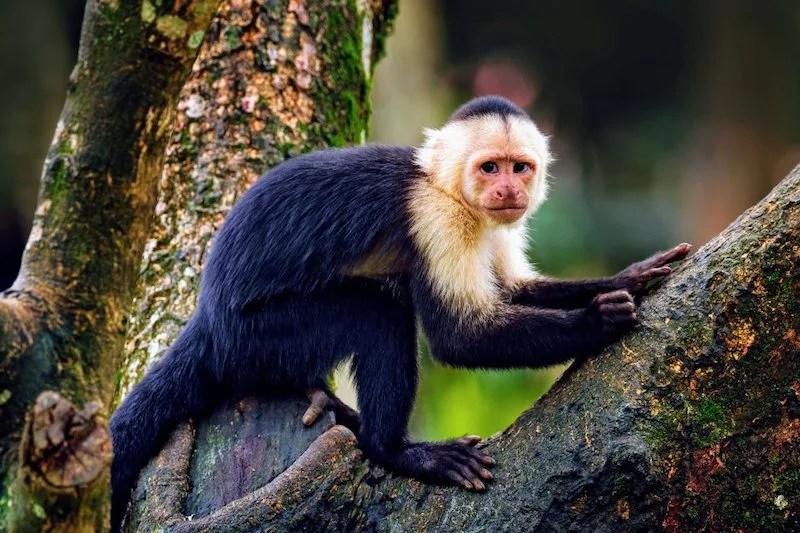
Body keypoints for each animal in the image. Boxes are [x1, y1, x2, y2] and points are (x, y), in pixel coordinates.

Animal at [110, 95, 690, 529]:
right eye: (490, 168)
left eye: (520, 168)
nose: (509, 189)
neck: (442, 186)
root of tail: (207, 318)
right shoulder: (435, 219)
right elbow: (460, 338)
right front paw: (598, 321)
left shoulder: (493, 223)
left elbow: (513, 289)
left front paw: (629, 276)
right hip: (254, 333)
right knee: (379, 313)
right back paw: (392, 450)